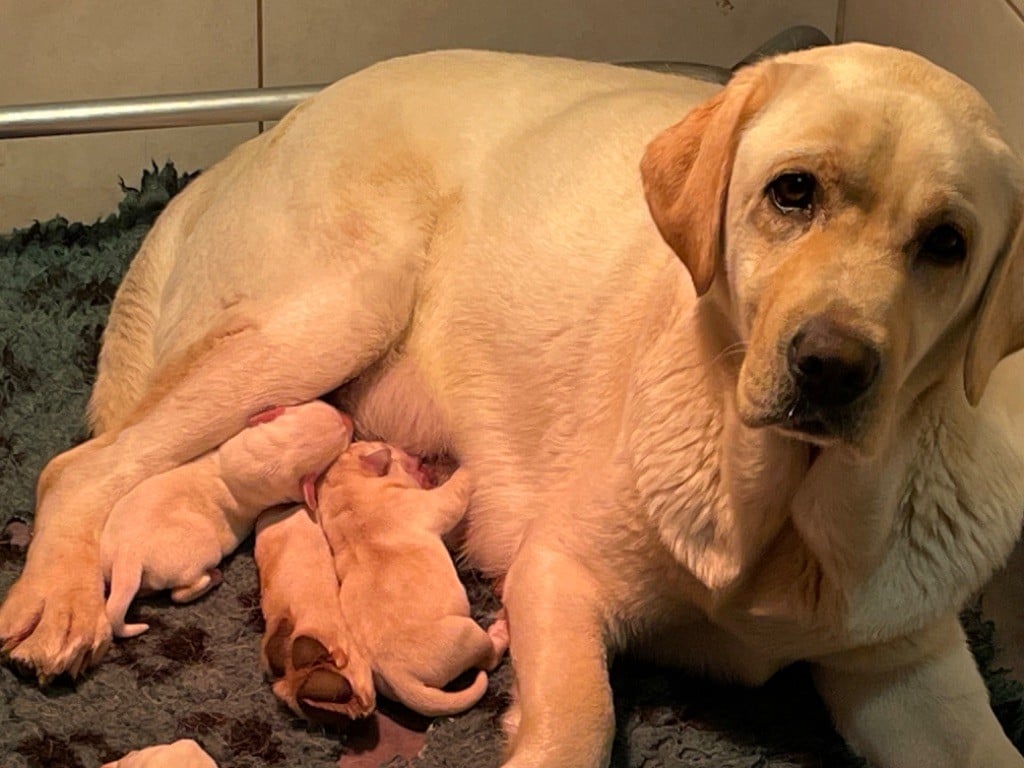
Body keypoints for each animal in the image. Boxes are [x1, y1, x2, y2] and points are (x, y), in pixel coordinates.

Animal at [101, 399, 352, 638]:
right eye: (344, 439)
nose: (349, 419)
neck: (233, 474)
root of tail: (128, 554)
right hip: (195, 556)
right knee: (180, 593)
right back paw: (213, 577)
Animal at [315, 442, 507, 720]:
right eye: (385, 446)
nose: (416, 454)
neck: (348, 499)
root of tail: (400, 679)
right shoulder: (434, 503)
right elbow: (456, 487)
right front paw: (466, 464)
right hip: (466, 632)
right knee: (488, 658)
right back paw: (500, 634)